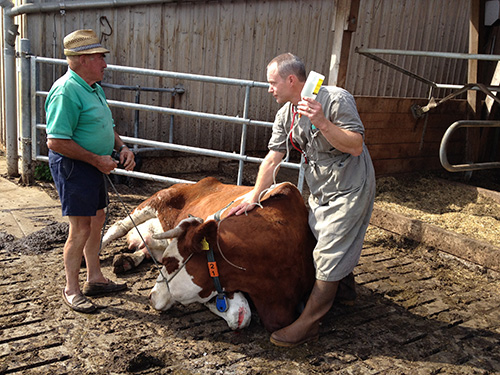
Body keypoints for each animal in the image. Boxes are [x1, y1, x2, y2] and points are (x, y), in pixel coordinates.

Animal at [100, 178, 316, 334]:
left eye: (169, 262)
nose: (151, 297)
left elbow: (239, 316)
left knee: (150, 243)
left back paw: (127, 260)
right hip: (154, 200)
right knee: (119, 226)